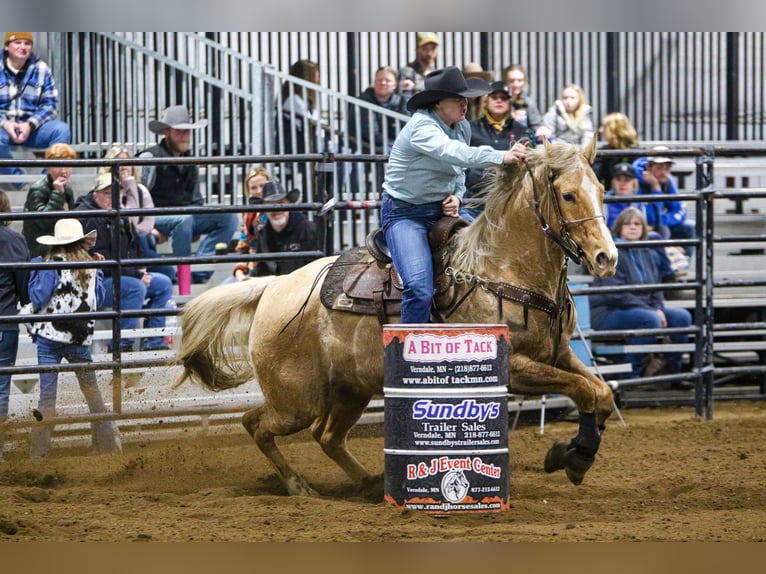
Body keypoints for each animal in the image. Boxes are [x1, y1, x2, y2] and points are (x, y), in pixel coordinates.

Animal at [177, 138, 620, 496]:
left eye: (600, 190)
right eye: (568, 195)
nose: (606, 258)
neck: (500, 270)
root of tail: (273, 286)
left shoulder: (557, 355)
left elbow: (600, 392)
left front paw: (573, 453)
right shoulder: (515, 368)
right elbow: (584, 391)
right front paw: (572, 457)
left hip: (349, 390)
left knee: (328, 436)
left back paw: (372, 482)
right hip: (296, 401)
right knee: (257, 424)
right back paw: (298, 486)